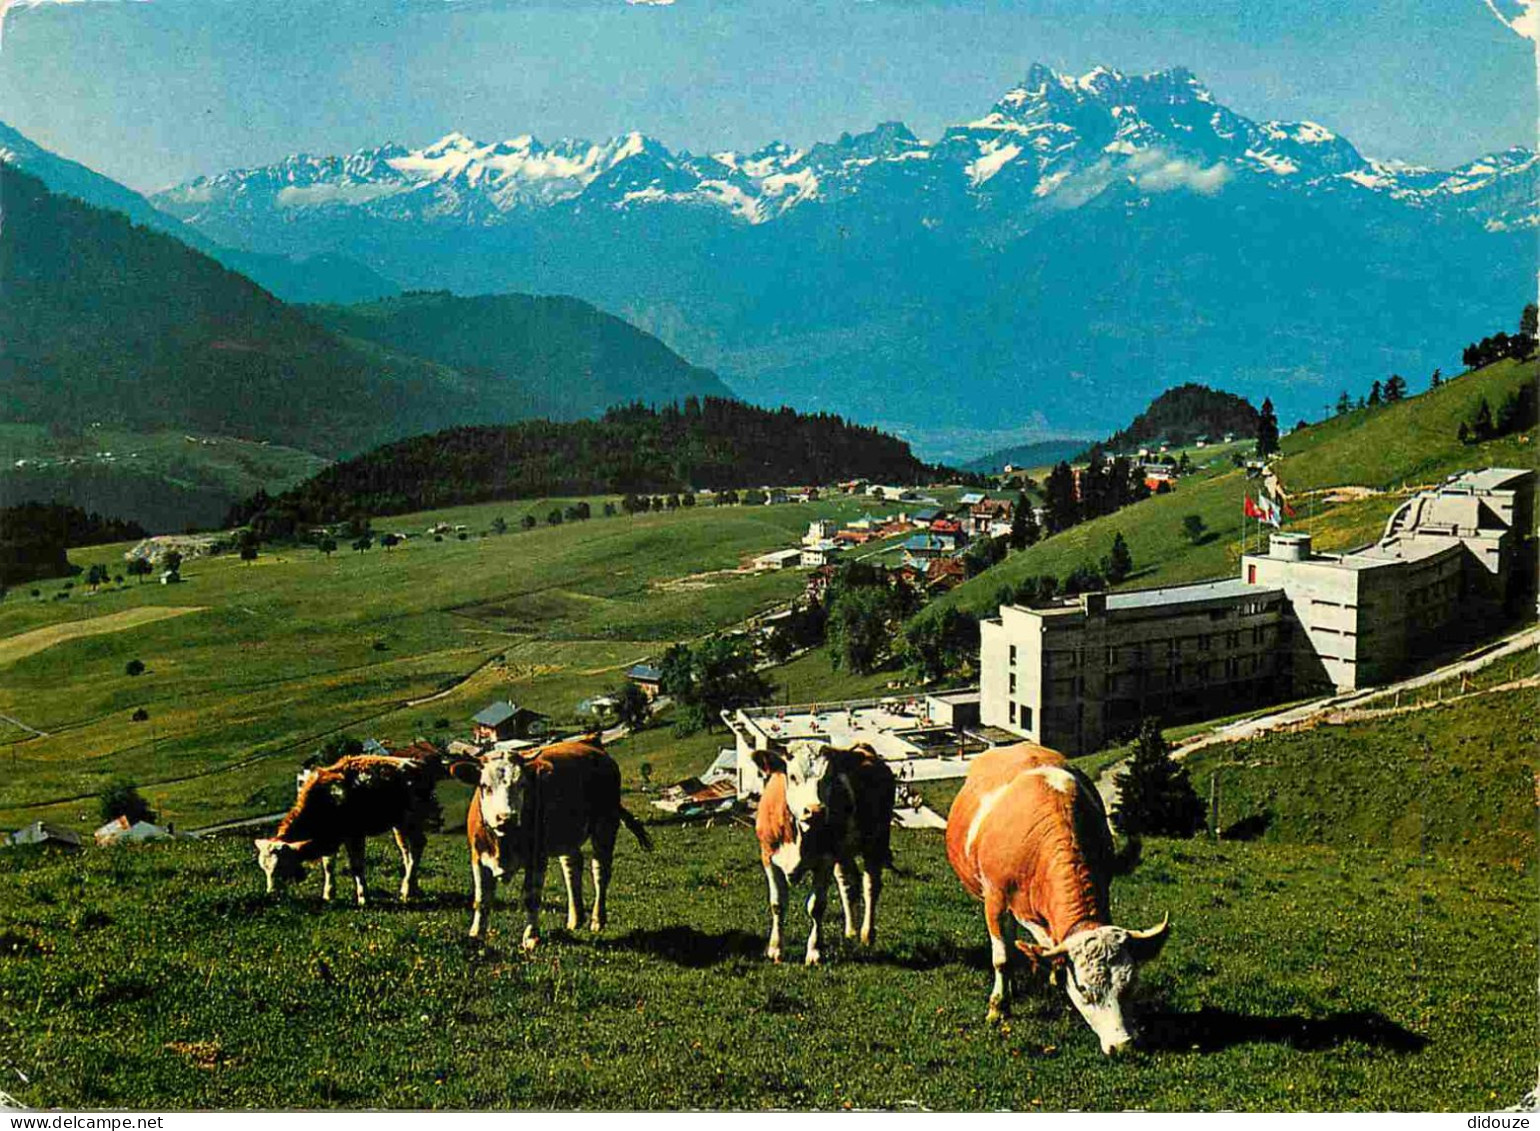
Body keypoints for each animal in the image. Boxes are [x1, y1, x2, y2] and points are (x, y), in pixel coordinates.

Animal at [449, 736, 656, 949]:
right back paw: (575, 918)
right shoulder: (478, 857)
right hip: (567, 835)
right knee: (572, 867)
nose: (506, 818)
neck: (503, 841)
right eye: (484, 786)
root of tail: (591, 742)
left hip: (605, 825)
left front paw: (531, 936)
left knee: (600, 871)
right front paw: (476, 934)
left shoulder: (537, 858)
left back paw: (597, 919)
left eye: (522, 784)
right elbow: (481, 899)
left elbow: (531, 898)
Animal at [751, 739, 899, 967]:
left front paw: (814, 952)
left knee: (871, 886)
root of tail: (863, 748)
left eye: (829, 778)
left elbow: (816, 907)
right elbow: (777, 904)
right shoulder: (768, 857)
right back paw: (850, 932)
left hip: (876, 841)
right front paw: (775, 949)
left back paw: (867, 934)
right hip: (844, 853)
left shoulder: (825, 861)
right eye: (792, 776)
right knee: (849, 884)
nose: (816, 810)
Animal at [942, 748, 1170, 1060]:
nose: (1123, 1046)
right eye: (1084, 989)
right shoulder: (995, 899)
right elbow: (1002, 959)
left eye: (1130, 982)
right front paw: (998, 1008)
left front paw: (1053, 975)